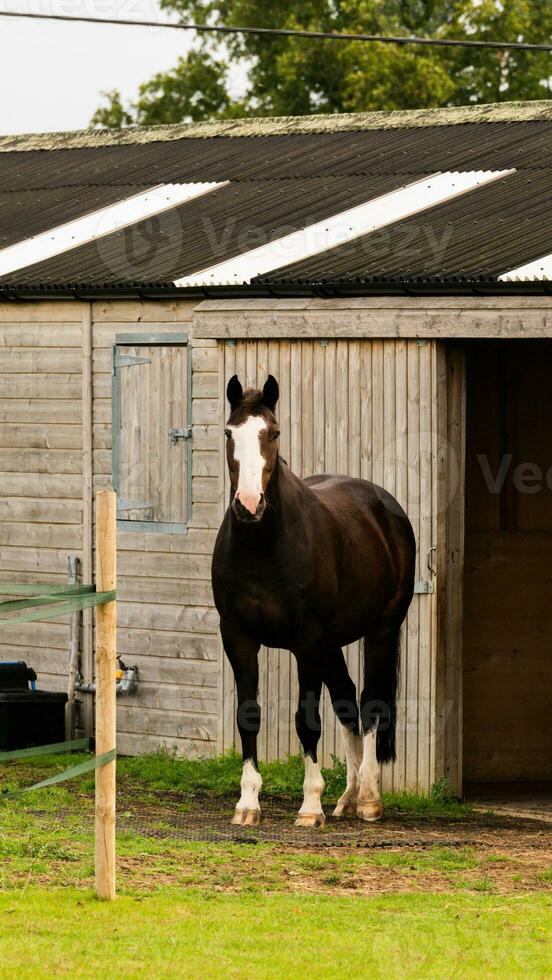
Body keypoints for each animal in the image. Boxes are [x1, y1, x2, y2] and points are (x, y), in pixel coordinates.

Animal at [211, 376, 414, 828]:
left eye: (273, 432)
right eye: (229, 433)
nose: (248, 505)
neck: (263, 549)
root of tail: (384, 505)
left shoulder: (305, 642)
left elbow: (308, 721)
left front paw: (309, 805)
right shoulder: (238, 637)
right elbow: (248, 715)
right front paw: (247, 803)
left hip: (379, 631)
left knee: (370, 703)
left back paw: (369, 799)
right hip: (332, 644)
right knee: (347, 702)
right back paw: (347, 798)